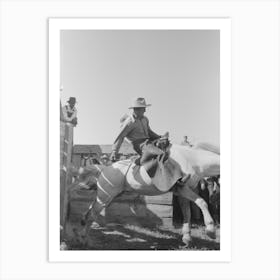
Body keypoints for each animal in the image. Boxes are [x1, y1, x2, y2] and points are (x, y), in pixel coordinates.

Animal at [71, 142, 220, 247]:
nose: (214, 196)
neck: (191, 159)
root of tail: (104, 169)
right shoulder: (182, 188)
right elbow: (202, 202)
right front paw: (211, 231)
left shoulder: (182, 191)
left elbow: (187, 213)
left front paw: (187, 238)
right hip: (105, 197)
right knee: (90, 214)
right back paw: (84, 239)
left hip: (105, 197)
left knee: (89, 214)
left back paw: (83, 238)